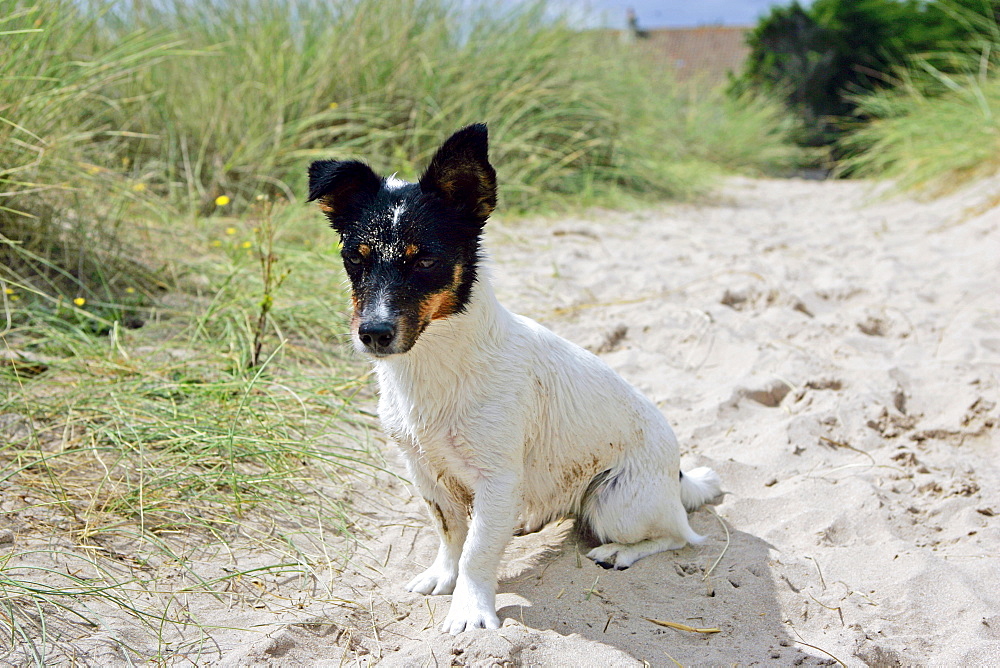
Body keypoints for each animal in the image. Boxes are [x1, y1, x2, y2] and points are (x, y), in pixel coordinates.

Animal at [304, 124, 720, 636]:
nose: (373, 333)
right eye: (355, 259)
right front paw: (444, 576)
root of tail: (678, 475)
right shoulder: (426, 473)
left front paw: (469, 608)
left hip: (616, 504)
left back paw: (620, 552)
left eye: (425, 261)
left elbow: (477, 552)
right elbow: (452, 535)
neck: (434, 366)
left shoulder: (497, 478)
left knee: (679, 535)